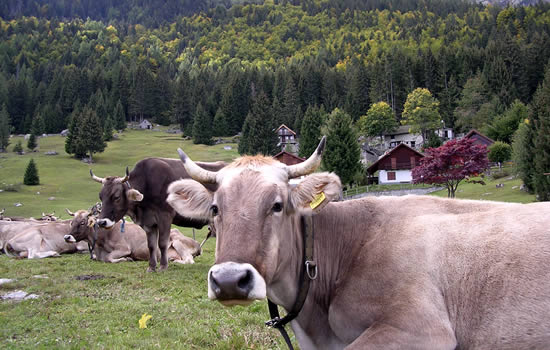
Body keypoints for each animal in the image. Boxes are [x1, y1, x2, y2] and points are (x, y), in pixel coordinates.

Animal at [64, 209, 202, 264]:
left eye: (82, 222)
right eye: (72, 222)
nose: (67, 237)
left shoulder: (124, 248)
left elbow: (109, 258)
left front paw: (126, 259)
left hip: (177, 242)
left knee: (189, 260)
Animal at [91, 157, 225, 272]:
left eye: (116, 197)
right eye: (101, 196)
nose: (101, 222)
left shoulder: (165, 216)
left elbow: (162, 243)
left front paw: (163, 266)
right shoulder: (149, 222)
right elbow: (151, 246)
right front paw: (151, 267)